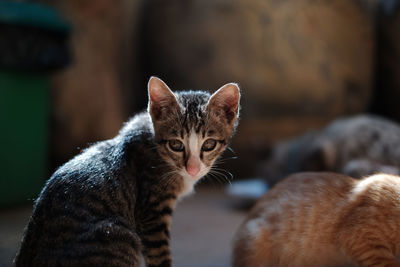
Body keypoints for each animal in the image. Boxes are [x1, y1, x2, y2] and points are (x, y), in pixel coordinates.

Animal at [14, 77, 241, 267]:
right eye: (176, 145)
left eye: (209, 144)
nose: (192, 169)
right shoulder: (152, 212)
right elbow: (159, 256)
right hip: (120, 234)